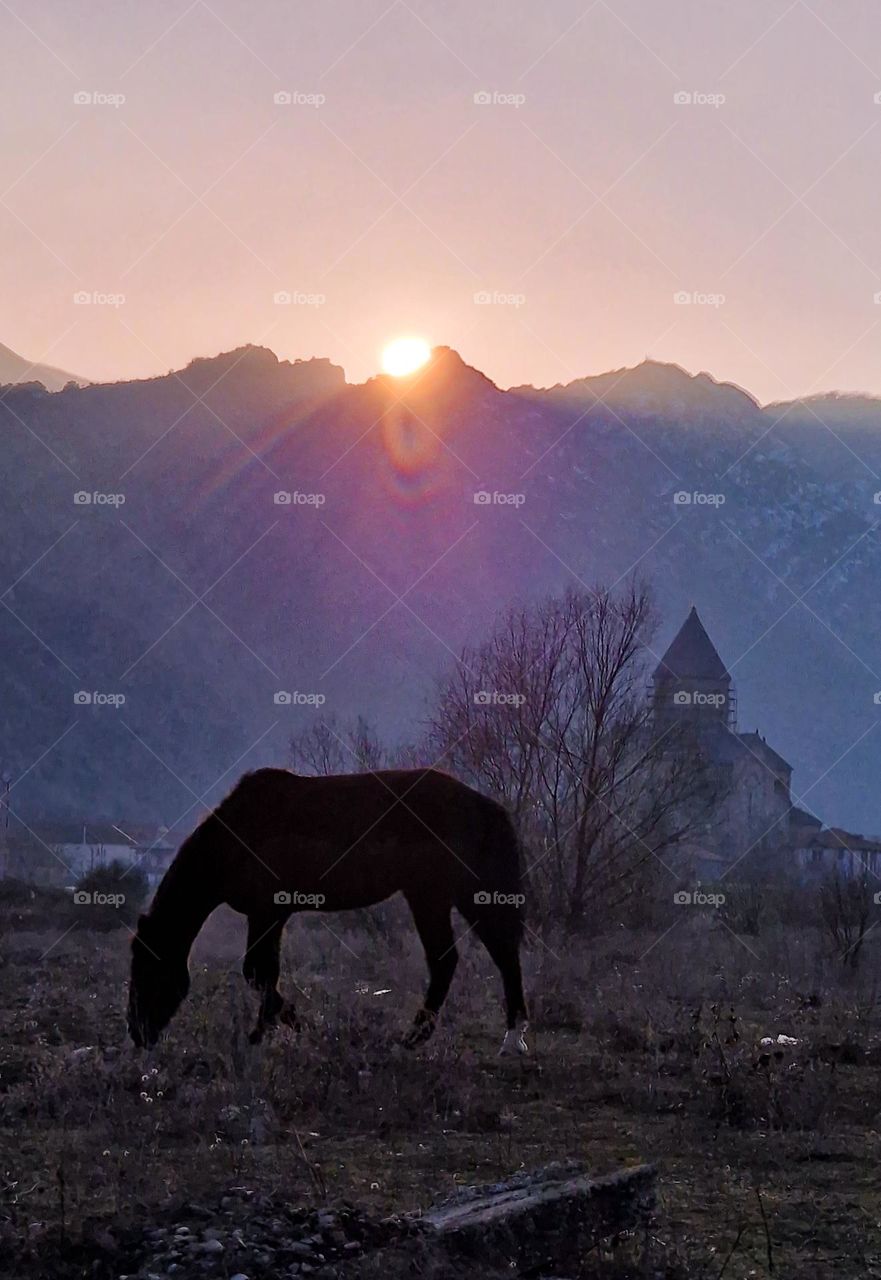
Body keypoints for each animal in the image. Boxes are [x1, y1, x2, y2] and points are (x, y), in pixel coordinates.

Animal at [126, 768, 527, 1049]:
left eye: (148, 968)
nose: (137, 1033)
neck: (236, 836)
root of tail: (484, 806)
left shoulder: (267, 913)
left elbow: (258, 972)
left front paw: (283, 1030)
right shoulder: (270, 915)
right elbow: (263, 974)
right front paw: (268, 1030)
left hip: (446, 896)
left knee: (488, 957)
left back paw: (501, 1038)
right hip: (442, 897)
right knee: (469, 958)